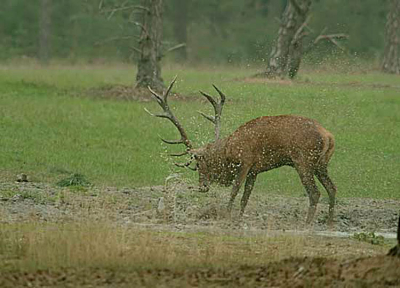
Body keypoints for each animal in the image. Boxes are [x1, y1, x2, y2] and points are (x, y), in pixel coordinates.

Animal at [145, 77, 336, 226]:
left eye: (199, 163)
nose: (202, 187)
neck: (228, 151)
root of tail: (328, 136)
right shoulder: (255, 170)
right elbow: (246, 196)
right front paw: (238, 217)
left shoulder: (245, 161)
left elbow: (235, 190)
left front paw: (227, 215)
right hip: (321, 164)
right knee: (332, 188)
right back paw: (329, 222)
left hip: (303, 160)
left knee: (315, 193)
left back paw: (307, 223)